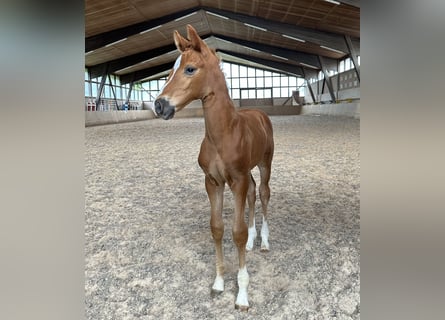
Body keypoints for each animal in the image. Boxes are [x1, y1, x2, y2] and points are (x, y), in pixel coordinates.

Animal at [154, 25, 272, 310]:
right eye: (169, 72)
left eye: (189, 69)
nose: (159, 105)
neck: (223, 134)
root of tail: (259, 113)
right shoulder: (213, 182)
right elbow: (217, 228)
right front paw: (218, 282)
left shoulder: (237, 180)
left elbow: (237, 232)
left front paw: (242, 295)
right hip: (247, 173)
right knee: (253, 193)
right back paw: (253, 242)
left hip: (265, 163)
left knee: (264, 193)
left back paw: (264, 241)